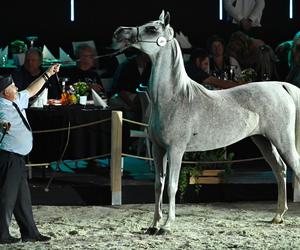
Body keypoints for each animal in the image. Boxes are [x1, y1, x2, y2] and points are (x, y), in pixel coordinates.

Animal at [113, 10, 300, 234]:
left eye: (151, 28)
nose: (119, 32)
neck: (174, 98)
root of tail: (281, 86)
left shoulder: (176, 150)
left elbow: (172, 186)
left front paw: (167, 225)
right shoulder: (158, 150)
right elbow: (159, 185)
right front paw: (154, 225)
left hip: (283, 141)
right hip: (263, 141)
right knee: (280, 170)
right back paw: (278, 216)